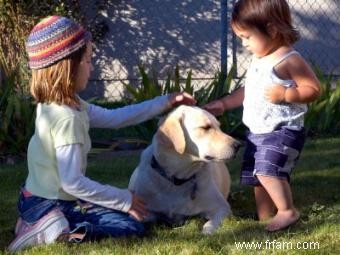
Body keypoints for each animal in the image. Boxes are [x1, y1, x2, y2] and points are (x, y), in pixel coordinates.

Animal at [129, 104, 240, 234]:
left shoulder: (222, 207)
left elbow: (209, 224)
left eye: (219, 127)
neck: (176, 180)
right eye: (206, 127)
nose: (238, 145)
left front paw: (207, 230)